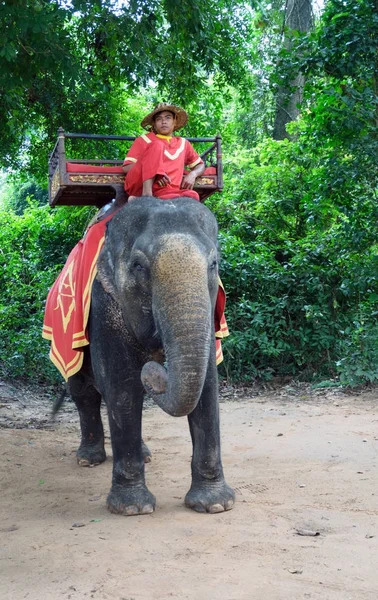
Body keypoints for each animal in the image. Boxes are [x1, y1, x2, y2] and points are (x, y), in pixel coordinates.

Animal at [67, 197, 233, 516]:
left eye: (213, 264)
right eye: (138, 266)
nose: (155, 369)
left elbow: (206, 387)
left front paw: (216, 505)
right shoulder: (105, 303)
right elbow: (122, 387)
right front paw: (132, 508)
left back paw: (144, 454)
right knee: (83, 391)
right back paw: (88, 459)